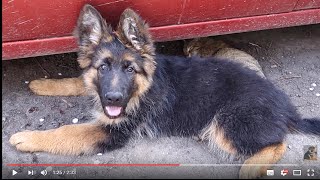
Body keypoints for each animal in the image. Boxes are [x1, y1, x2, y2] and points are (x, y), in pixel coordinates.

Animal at [9, 3, 320, 179]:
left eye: (130, 69)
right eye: (103, 67)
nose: (113, 99)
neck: (142, 88)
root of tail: (287, 109)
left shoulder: (112, 130)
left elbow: (67, 131)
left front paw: (27, 137)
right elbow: (77, 81)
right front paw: (43, 83)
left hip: (228, 122)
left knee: (277, 143)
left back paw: (250, 169)